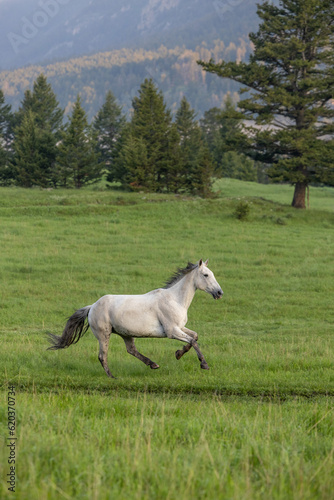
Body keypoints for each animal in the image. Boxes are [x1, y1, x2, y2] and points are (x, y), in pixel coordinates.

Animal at [47, 260, 223, 376]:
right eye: (206, 275)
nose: (219, 293)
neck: (175, 299)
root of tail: (92, 307)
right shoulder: (172, 331)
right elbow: (193, 341)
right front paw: (204, 364)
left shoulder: (180, 327)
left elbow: (194, 337)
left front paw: (178, 353)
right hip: (104, 334)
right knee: (102, 356)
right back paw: (112, 377)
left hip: (126, 333)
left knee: (131, 350)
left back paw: (153, 364)